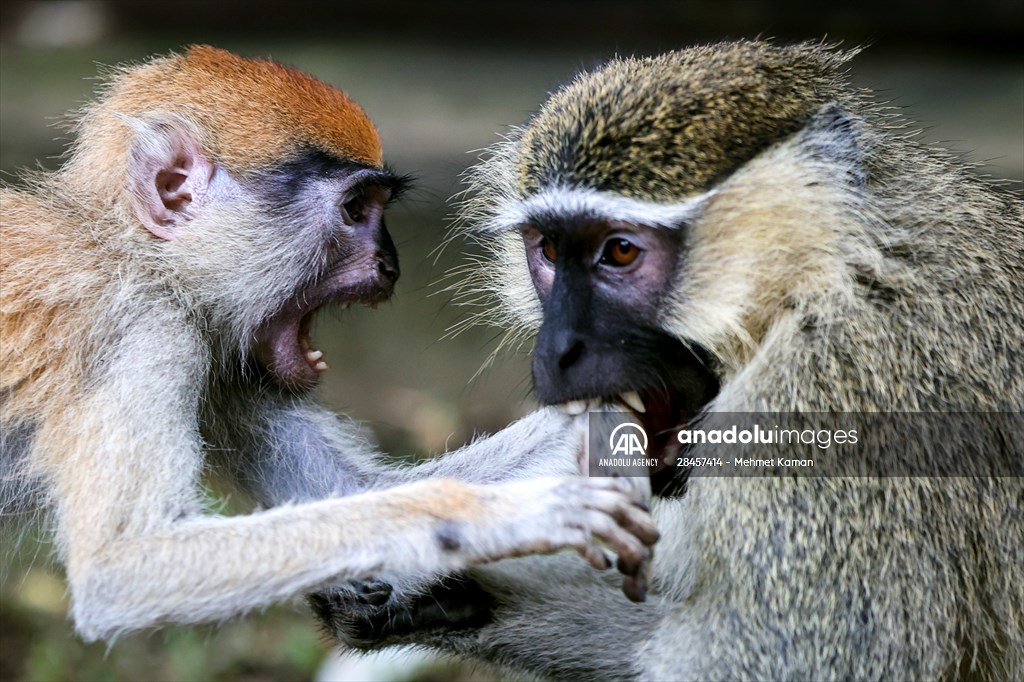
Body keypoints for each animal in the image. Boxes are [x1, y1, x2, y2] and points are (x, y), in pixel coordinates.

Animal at [0, 45, 655, 638]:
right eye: (355, 208)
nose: (390, 265)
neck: (128, 245)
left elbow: (352, 491)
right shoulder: (142, 328)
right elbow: (123, 567)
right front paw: (508, 515)